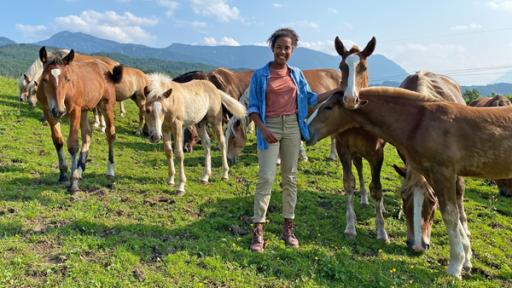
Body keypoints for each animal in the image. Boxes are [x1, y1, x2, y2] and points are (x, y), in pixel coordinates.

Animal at [36, 46, 123, 194]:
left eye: (67, 79)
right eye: (45, 79)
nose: (59, 110)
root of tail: (106, 69)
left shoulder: (75, 111)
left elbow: (73, 145)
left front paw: (73, 183)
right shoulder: (49, 112)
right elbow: (58, 141)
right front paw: (63, 174)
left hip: (106, 105)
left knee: (110, 134)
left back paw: (110, 171)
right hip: (84, 110)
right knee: (87, 133)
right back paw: (80, 169)